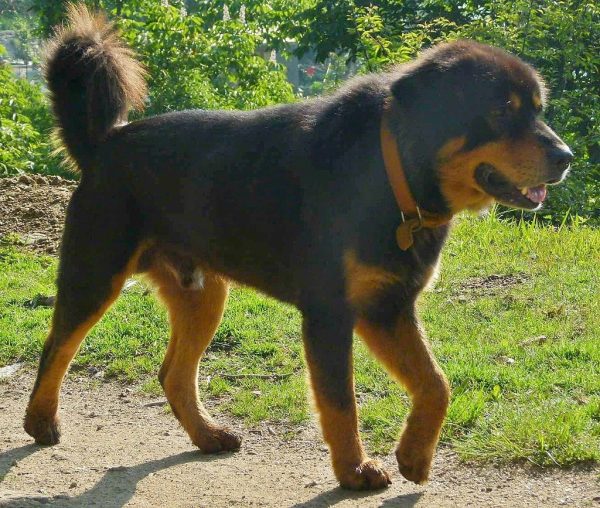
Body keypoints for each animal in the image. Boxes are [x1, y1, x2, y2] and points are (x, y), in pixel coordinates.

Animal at [24, 2, 572, 488]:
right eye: (501, 109)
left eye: (538, 110)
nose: (566, 156)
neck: (391, 172)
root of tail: (102, 144)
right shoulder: (332, 312)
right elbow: (340, 402)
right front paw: (354, 471)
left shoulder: (386, 308)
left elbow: (436, 384)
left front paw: (414, 456)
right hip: (95, 275)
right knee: (55, 347)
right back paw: (40, 422)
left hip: (202, 293)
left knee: (173, 374)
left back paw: (206, 435)